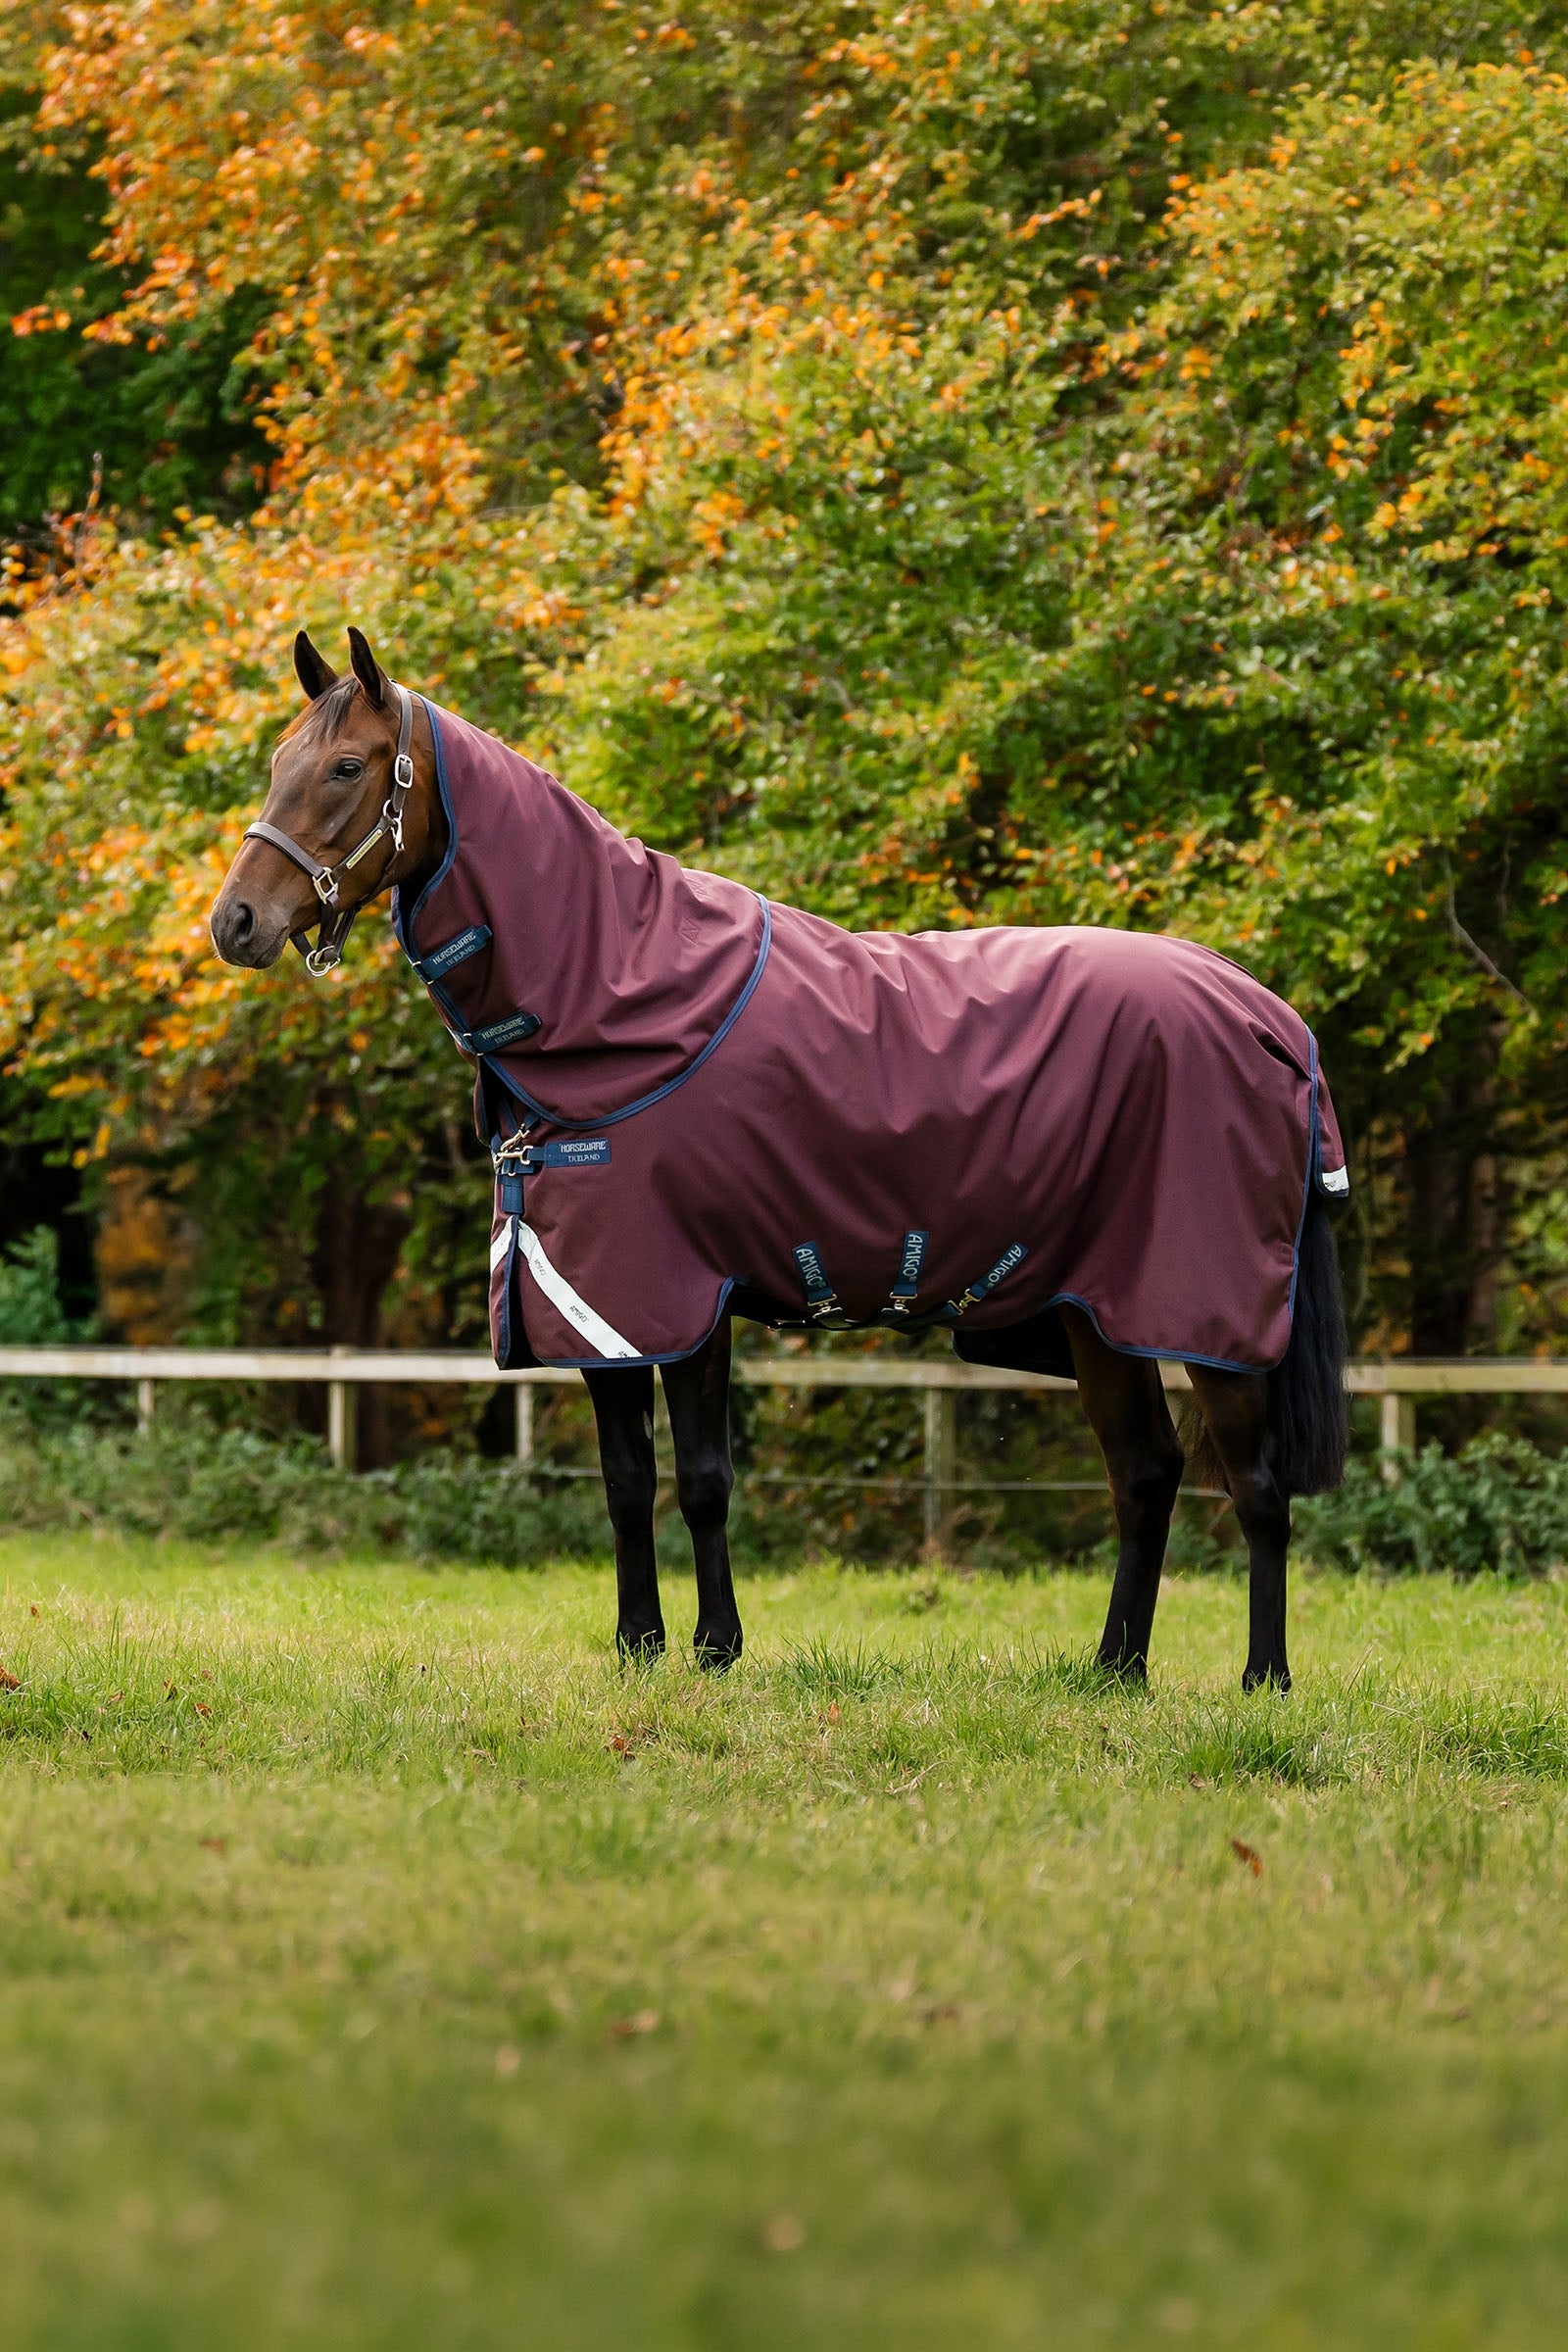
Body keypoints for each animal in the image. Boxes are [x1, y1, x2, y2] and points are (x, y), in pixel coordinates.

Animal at [210, 627, 1348, 1689]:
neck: (618, 992)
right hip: (1099, 1316)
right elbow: (626, 1480)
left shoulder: (680, 1294)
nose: (236, 922)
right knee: (1145, 1472)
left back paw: (1264, 1678)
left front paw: (715, 1647)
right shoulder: (592, 1302)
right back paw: (1115, 1671)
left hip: (1207, 1315)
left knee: (1255, 1488)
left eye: (345, 768)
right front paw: (638, 1647)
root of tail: (1268, 1016)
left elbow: (704, 1478)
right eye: (276, 761)